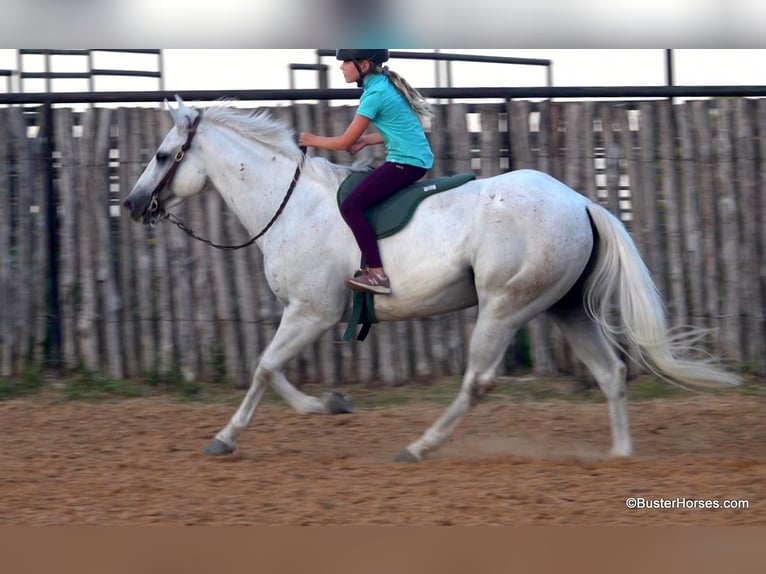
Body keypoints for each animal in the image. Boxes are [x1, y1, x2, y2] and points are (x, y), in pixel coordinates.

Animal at [123, 95, 740, 464]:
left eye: (162, 155)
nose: (131, 205)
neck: (292, 204)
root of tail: (581, 202)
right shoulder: (307, 315)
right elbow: (271, 371)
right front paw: (330, 405)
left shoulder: (311, 312)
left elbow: (264, 367)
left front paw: (228, 437)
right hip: (565, 309)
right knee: (610, 373)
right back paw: (620, 455)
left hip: (504, 307)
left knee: (478, 381)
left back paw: (420, 447)